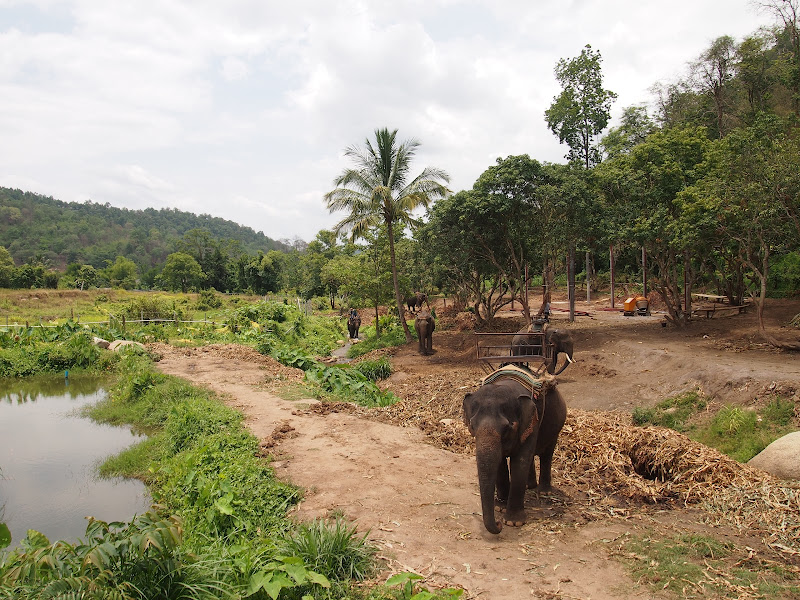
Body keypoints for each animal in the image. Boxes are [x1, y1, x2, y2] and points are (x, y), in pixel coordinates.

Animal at [462, 370, 568, 536]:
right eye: (472, 426)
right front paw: (500, 507)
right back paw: (529, 486)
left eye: (508, 427)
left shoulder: (532, 422)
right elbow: (501, 463)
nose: (498, 524)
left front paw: (513, 522)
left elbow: (520, 462)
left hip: (556, 426)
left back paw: (544, 492)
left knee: (546, 455)